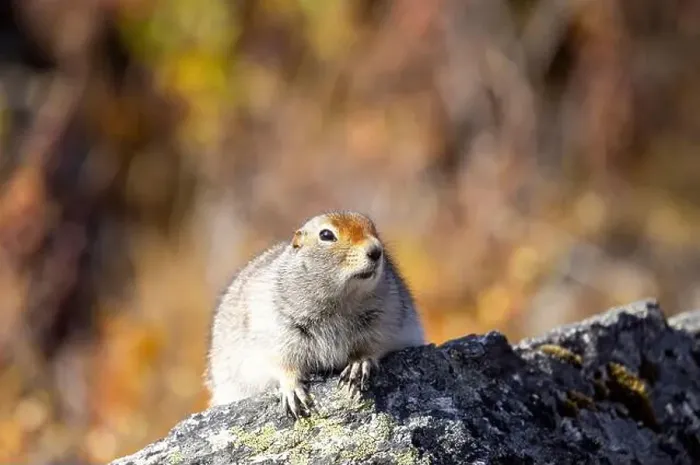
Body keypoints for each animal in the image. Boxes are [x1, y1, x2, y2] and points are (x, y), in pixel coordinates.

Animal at [205, 210, 425, 418]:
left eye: (373, 228)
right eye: (326, 235)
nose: (376, 251)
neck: (340, 300)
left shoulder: (386, 317)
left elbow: (374, 346)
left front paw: (359, 364)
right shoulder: (276, 332)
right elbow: (282, 364)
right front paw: (293, 392)